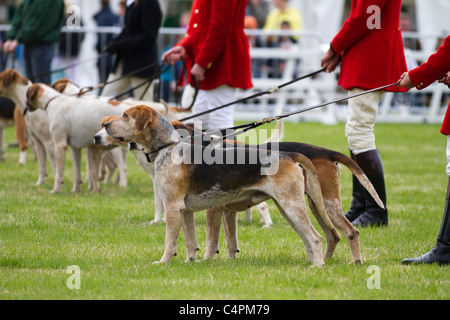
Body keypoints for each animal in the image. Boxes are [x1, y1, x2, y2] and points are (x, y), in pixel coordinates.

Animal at [102, 105, 334, 268]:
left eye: (125, 116)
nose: (104, 125)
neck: (168, 148)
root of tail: (289, 154)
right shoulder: (184, 211)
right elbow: (190, 241)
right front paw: (189, 262)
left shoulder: (173, 208)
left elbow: (170, 242)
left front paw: (163, 262)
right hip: (287, 208)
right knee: (307, 237)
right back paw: (312, 262)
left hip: (291, 205)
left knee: (315, 237)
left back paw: (318, 266)